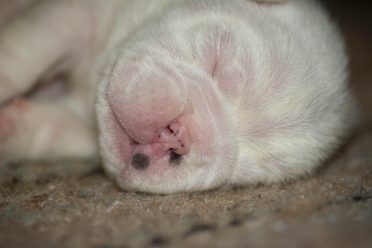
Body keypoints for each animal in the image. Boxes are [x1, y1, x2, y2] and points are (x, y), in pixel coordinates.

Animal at [0, 0, 356, 194]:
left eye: (242, 171)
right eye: (216, 58)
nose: (178, 136)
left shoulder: (81, 128)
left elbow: (53, 131)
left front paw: (12, 126)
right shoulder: (77, 14)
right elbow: (24, 50)